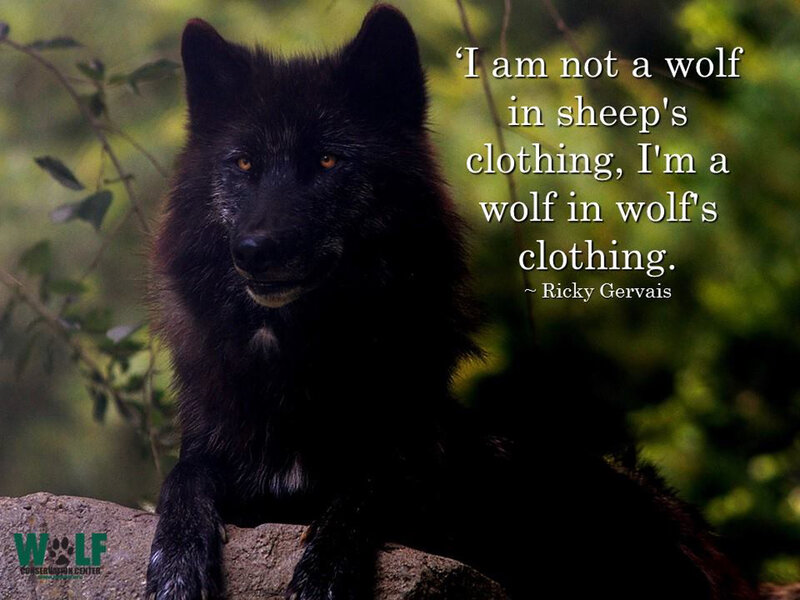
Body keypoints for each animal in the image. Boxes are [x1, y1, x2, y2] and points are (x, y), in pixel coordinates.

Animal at [145, 5, 756, 599]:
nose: (254, 251)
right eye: (244, 164)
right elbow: (182, 478)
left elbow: (368, 487)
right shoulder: (218, 450)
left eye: (327, 162)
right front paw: (175, 565)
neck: (299, 360)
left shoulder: (421, 477)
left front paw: (324, 572)